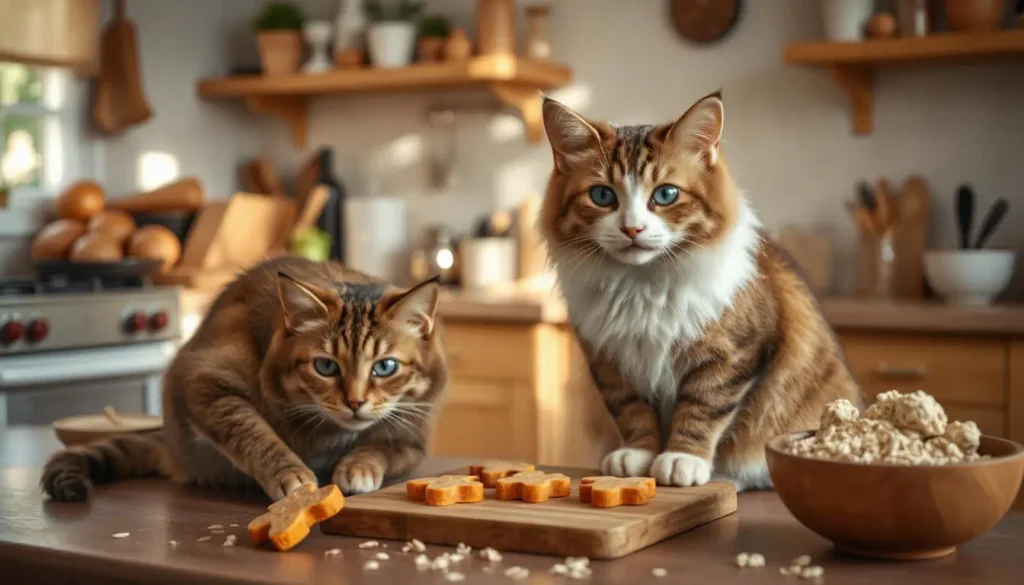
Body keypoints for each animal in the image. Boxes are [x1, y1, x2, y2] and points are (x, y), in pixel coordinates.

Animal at [40, 258, 448, 502]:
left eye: (385, 367)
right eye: (326, 367)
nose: (355, 402)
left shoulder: (411, 441)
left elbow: (377, 447)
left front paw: (356, 467)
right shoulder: (203, 380)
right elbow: (254, 434)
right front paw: (291, 475)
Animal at [540, 92, 860, 493]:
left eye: (666, 194)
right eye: (602, 195)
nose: (632, 229)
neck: (641, 286)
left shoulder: (732, 354)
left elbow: (702, 408)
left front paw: (682, 459)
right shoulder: (612, 362)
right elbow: (633, 412)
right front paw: (639, 455)